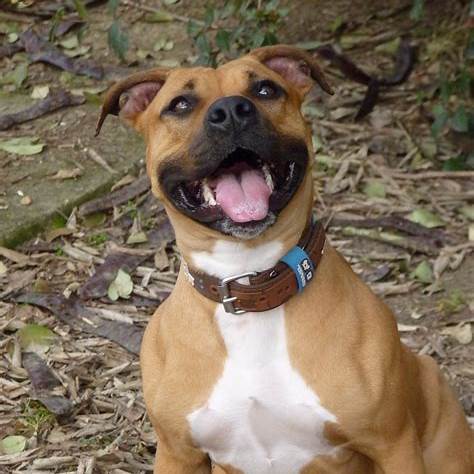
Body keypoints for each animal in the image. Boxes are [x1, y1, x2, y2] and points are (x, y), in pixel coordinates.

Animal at [97, 45, 474, 474]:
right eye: (180, 104)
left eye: (265, 89)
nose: (230, 110)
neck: (249, 281)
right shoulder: (178, 453)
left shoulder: (393, 444)